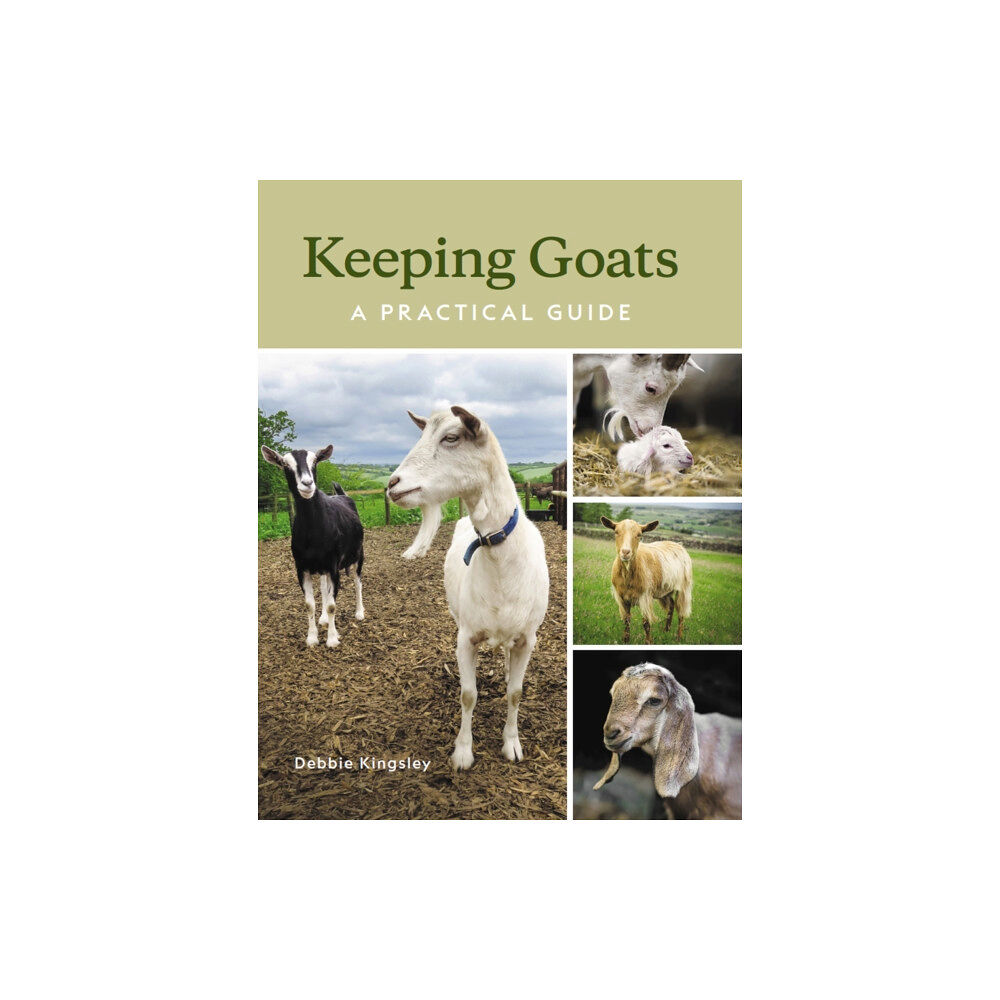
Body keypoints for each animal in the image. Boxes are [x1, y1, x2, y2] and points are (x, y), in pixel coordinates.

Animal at [261, 445, 365, 648]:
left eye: (315, 461)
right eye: (285, 464)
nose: (307, 483)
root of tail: (342, 495)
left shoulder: (333, 567)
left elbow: (332, 605)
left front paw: (332, 639)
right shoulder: (302, 568)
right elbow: (309, 604)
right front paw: (312, 638)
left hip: (359, 554)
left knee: (357, 582)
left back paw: (359, 613)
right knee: (324, 589)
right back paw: (323, 618)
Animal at [387, 405, 549, 771]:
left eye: (451, 437)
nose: (392, 484)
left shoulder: (528, 638)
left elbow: (516, 693)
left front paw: (512, 744)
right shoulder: (466, 636)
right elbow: (468, 694)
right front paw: (462, 752)